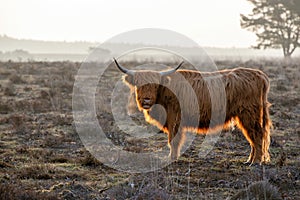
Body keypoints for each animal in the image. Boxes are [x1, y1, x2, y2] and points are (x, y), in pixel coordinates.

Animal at [114, 58, 272, 165]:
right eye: (138, 84)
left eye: (155, 85)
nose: (146, 100)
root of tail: (260, 75)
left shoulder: (175, 119)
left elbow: (173, 140)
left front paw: (172, 158)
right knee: (254, 136)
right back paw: (249, 160)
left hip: (249, 114)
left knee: (257, 135)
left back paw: (255, 161)